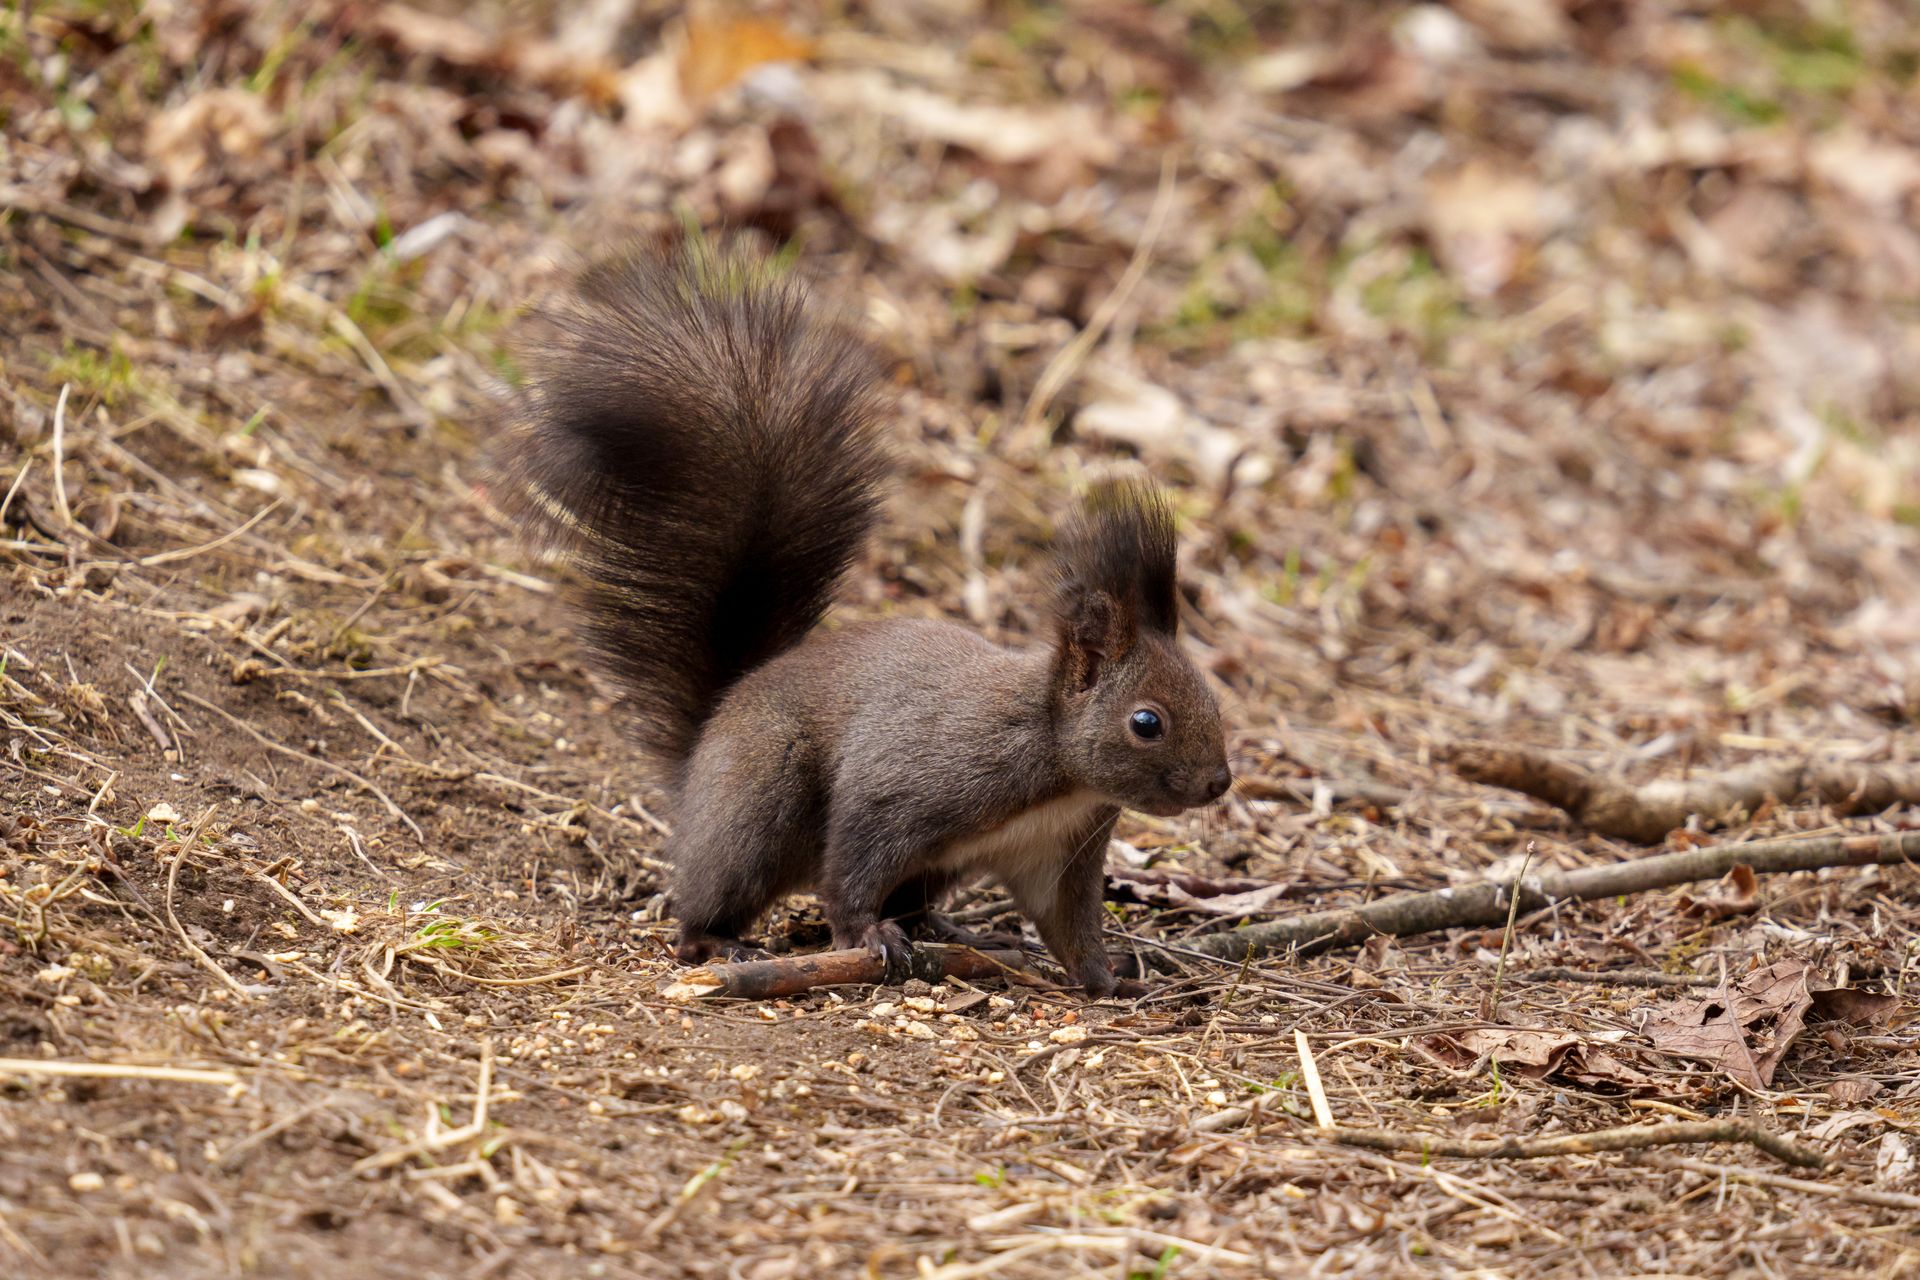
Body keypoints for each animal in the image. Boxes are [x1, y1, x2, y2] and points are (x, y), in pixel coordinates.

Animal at [496, 245, 1232, 995]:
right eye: (1146, 722)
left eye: (1213, 699)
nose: (1218, 783)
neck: (1055, 764)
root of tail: (708, 738)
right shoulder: (908, 784)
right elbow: (853, 866)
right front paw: (863, 937)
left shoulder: (1063, 850)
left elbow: (1070, 926)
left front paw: (1114, 982)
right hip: (759, 804)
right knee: (712, 897)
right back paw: (726, 942)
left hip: (935, 865)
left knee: (914, 900)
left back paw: (958, 932)